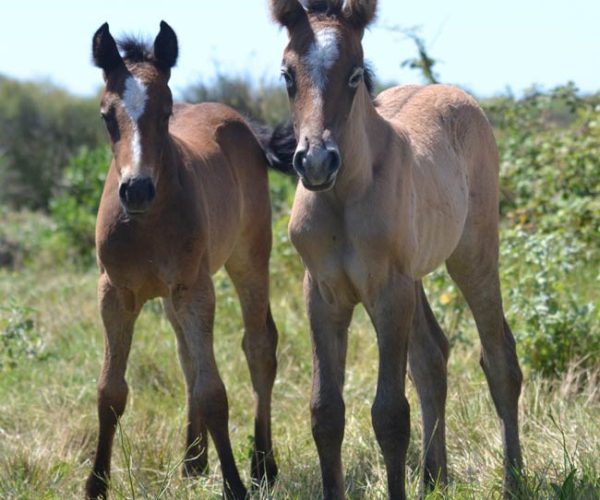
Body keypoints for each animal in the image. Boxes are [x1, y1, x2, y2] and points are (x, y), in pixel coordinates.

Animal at [85, 21, 278, 498]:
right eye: (106, 116)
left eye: (166, 111)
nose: (136, 189)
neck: (147, 223)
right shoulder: (114, 292)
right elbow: (110, 391)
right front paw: (95, 484)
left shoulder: (195, 289)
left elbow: (213, 391)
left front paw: (234, 484)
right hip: (171, 298)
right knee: (187, 358)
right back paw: (193, 459)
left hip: (249, 258)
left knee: (259, 346)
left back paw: (262, 464)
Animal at [270, 1, 524, 498]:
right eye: (288, 74)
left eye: (354, 74)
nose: (316, 162)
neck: (343, 195)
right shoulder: (322, 294)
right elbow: (325, 412)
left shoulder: (388, 291)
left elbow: (389, 414)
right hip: (417, 275)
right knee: (431, 357)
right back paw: (433, 477)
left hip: (473, 255)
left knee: (500, 358)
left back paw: (513, 479)